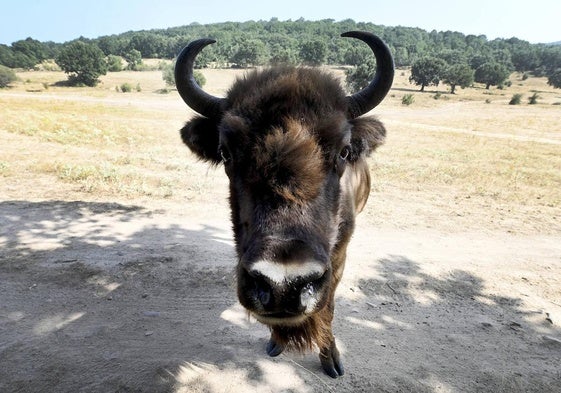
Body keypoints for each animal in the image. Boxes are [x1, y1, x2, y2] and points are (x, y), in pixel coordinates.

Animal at [175, 33, 394, 376]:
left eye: (344, 151)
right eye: (225, 152)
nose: (283, 285)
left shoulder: (338, 257)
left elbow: (328, 306)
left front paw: (331, 360)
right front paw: (276, 343)